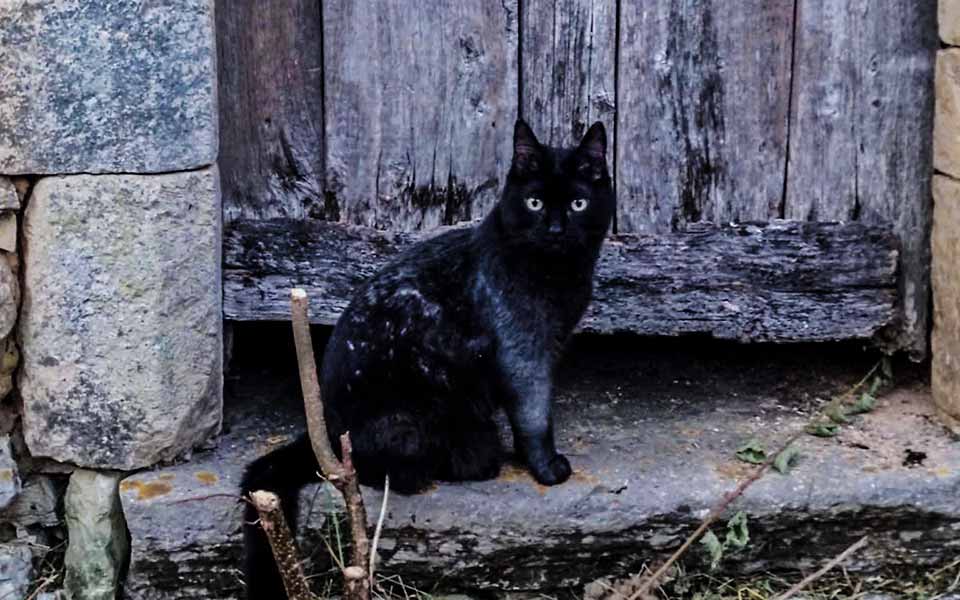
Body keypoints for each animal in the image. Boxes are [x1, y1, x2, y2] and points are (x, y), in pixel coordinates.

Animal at [240, 119, 616, 596]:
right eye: (534, 203)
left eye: (577, 203)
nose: (554, 229)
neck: (558, 276)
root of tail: (323, 429)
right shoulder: (523, 351)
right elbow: (534, 413)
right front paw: (546, 466)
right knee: (395, 472)